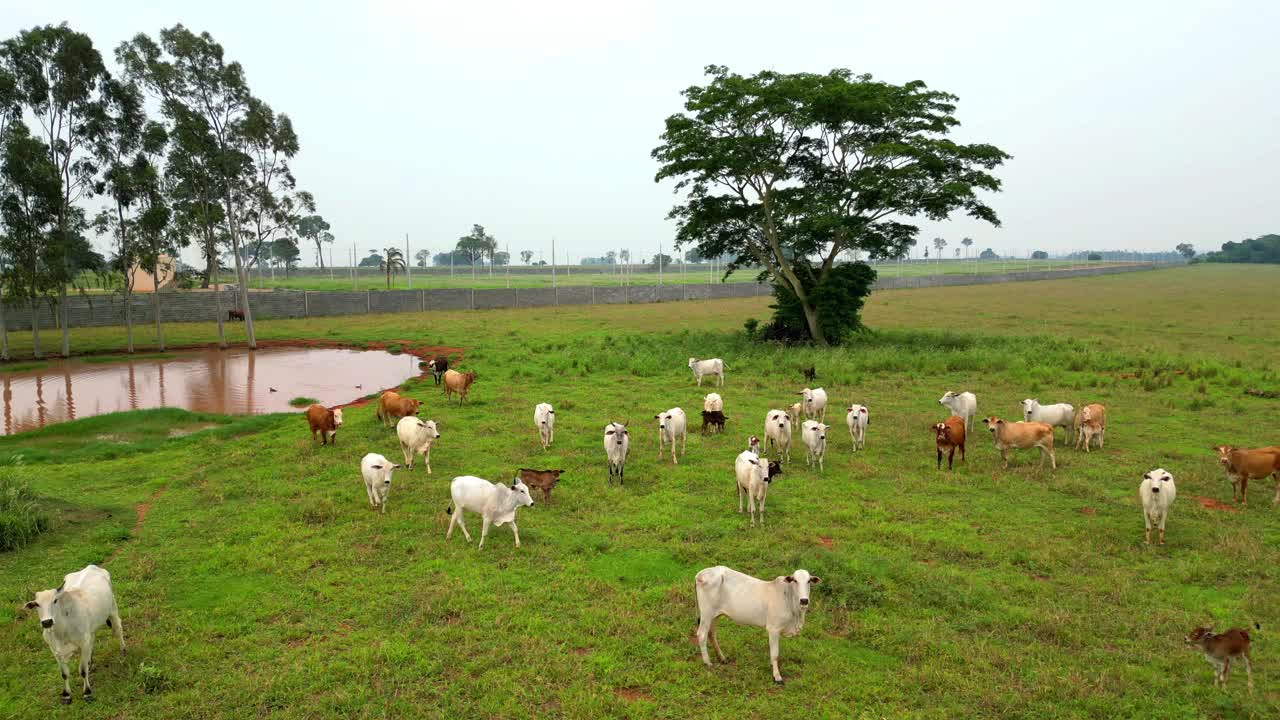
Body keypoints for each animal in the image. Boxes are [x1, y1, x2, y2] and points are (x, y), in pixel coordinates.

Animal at [24, 561, 124, 702]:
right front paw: (66, 694)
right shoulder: (54, 650)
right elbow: (64, 674)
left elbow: (82, 670)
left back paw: (123, 649)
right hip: (91, 629)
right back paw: (90, 662)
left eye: (55, 600)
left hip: (113, 610)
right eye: (37, 604)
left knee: (118, 629)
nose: (47, 622)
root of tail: (92, 566)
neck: (61, 632)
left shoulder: (83, 643)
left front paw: (87, 692)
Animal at [696, 563, 824, 681]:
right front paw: (777, 676)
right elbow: (775, 654)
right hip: (706, 614)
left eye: (809, 581)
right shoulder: (773, 629)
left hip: (715, 615)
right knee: (702, 634)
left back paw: (722, 658)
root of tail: (700, 574)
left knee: (711, 634)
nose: (804, 600)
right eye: (795, 580)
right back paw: (708, 662)